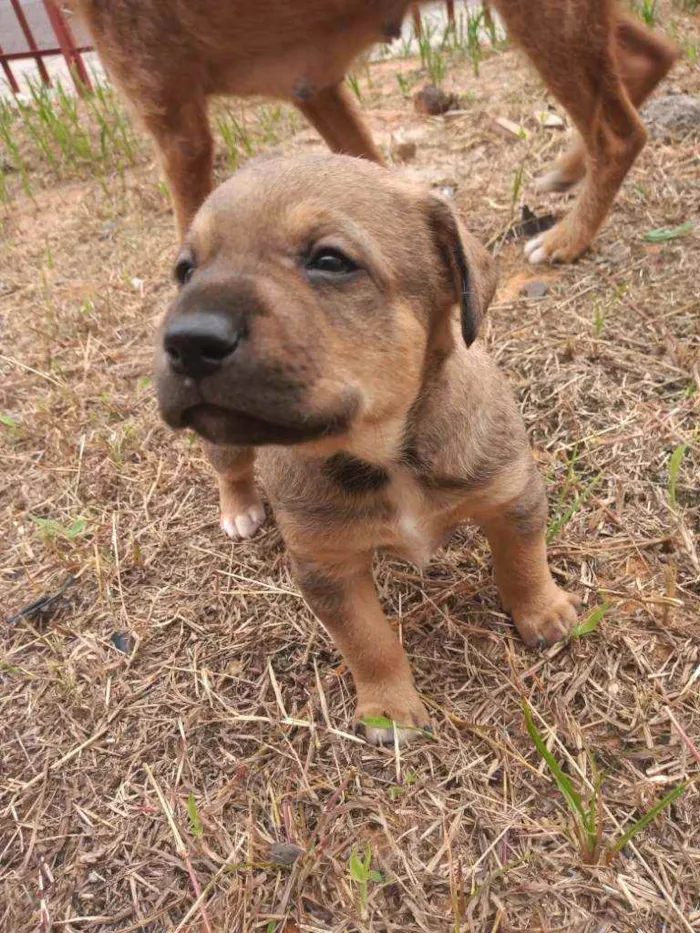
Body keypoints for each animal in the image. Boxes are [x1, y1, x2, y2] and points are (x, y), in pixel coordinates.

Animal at [72, 0, 680, 264]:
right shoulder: (314, 87)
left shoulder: (177, 129)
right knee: (654, 57)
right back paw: (568, 170)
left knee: (619, 131)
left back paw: (567, 238)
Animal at [156, 157, 584, 748]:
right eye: (186, 271)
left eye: (330, 261)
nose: (187, 340)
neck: (385, 450)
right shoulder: (328, 568)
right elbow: (368, 642)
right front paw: (389, 710)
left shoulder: (512, 495)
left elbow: (523, 563)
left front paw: (544, 614)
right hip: (225, 440)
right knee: (232, 470)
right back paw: (239, 509)